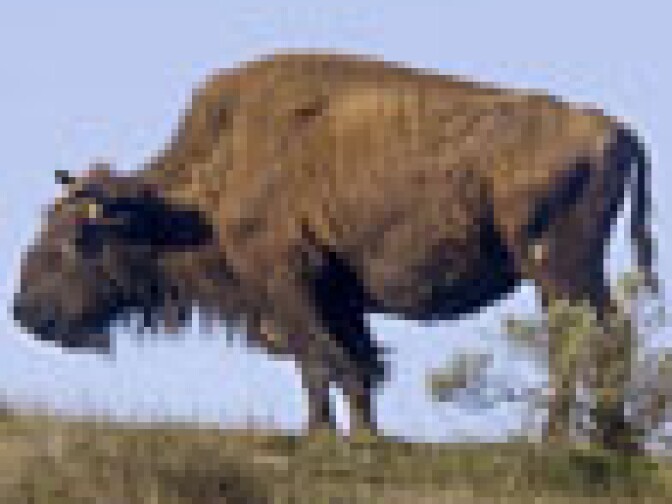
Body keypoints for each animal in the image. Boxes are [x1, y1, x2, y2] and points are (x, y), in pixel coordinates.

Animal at [12, 52, 658, 452]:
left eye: (78, 239)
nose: (24, 311)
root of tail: (616, 129)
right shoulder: (337, 296)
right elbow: (355, 366)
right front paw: (363, 434)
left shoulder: (286, 286)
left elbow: (321, 362)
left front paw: (325, 436)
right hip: (569, 275)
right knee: (603, 335)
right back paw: (609, 441)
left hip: (557, 269)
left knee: (584, 340)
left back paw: (564, 442)